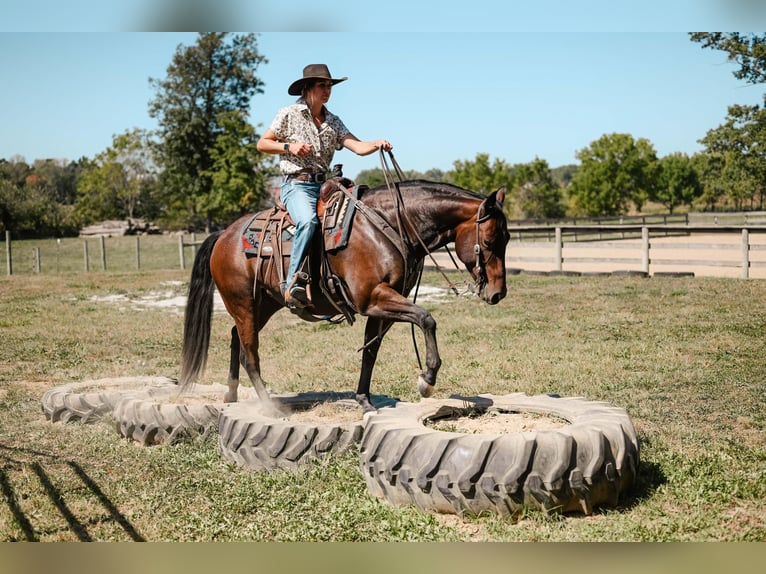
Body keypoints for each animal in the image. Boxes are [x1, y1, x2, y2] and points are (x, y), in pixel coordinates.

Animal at [177, 180, 508, 414]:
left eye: (506, 238)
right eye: (490, 240)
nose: (498, 294)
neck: (388, 223)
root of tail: (223, 235)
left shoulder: (380, 307)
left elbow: (370, 353)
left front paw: (364, 400)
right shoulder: (373, 297)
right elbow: (426, 318)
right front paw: (426, 379)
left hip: (263, 304)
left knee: (236, 337)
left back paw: (231, 393)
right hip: (243, 303)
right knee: (250, 354)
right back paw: (269, 406)